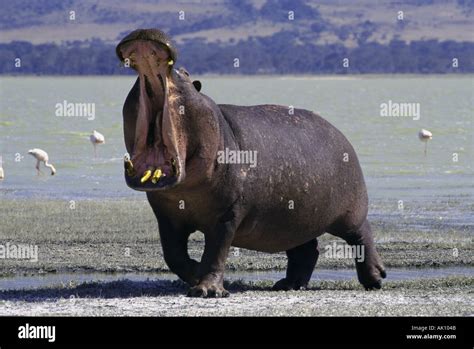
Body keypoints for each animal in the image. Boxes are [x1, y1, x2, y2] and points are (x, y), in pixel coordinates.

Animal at [116, 29, 386, 296]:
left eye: (185, 73)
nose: (145, 30)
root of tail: (340, 132)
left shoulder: (228, 215)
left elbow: (216, 253)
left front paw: (207, 289)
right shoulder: (167, 218)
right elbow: (173, 256)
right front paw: (195, 274)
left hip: (350, 212)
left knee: (362, 235)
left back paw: (375, 279)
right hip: (294, 219)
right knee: (306, 250)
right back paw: (288, 284)